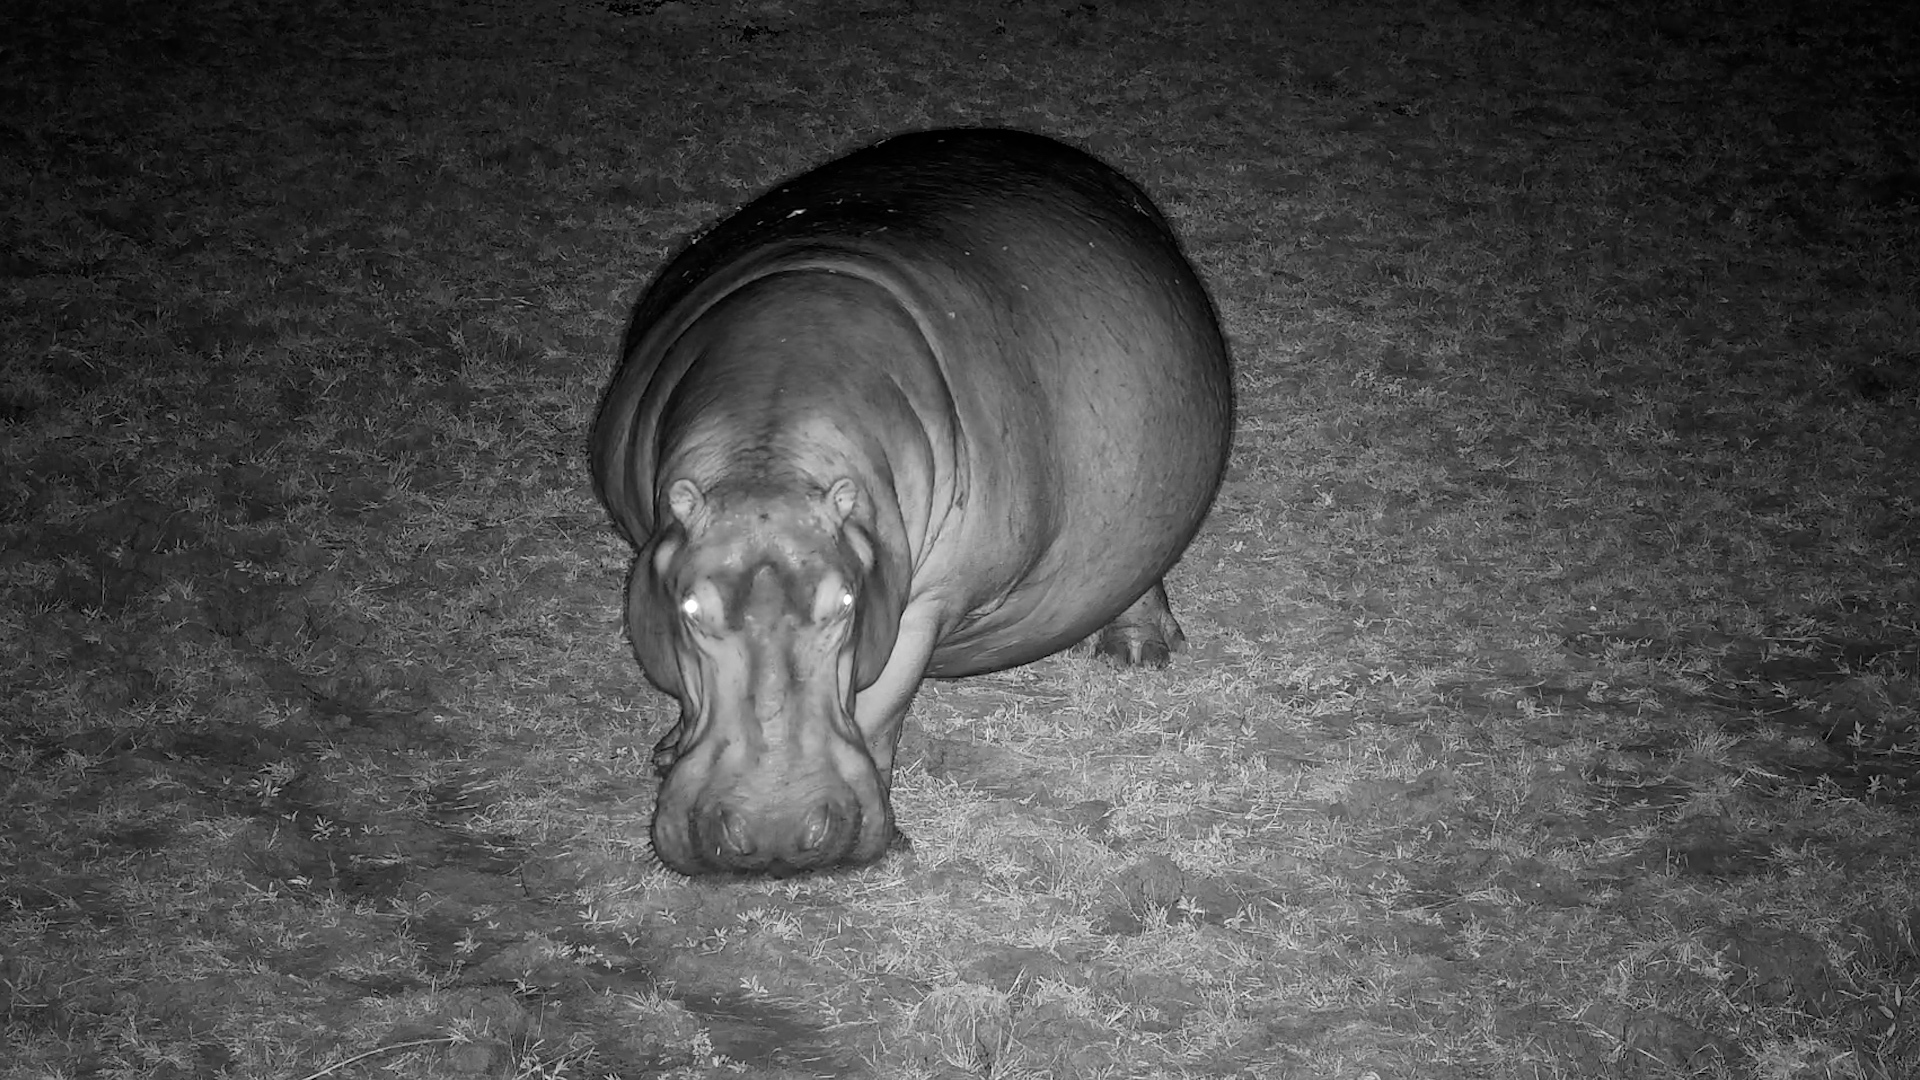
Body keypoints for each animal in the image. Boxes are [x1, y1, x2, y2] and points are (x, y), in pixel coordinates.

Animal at [591, 127, 1232, 875]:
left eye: (845, 602)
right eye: (690, 607)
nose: (775, 834)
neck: (768, 453)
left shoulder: (925, 600)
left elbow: (880, 705)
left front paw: (888, 840)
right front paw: (667, 750)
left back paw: (1137, 652)